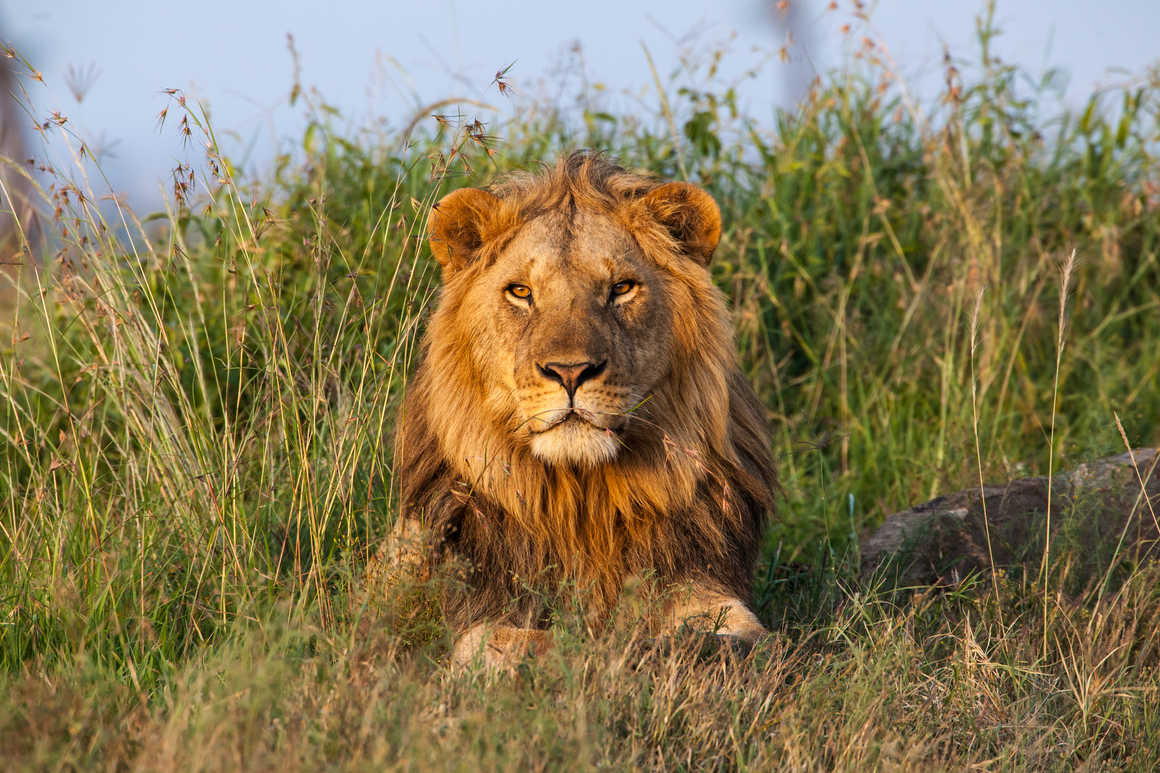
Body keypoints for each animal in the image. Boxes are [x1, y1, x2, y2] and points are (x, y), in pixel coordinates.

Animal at [385, 150, 774, 663]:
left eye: (622, 288)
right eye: (521, 292)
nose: (570, 372)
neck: (582, 502)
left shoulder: (705, 583)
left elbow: (735, 637)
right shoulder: (474, 612)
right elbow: (518, 643)